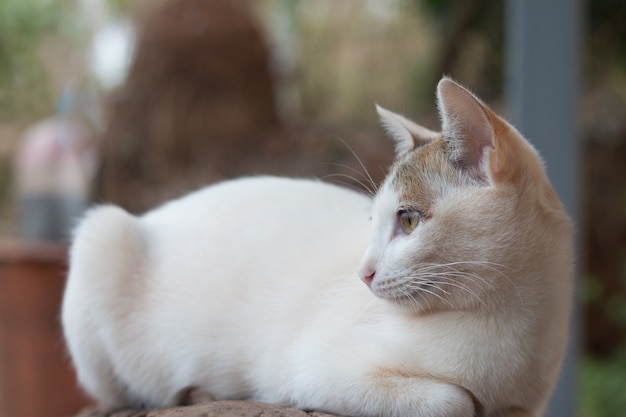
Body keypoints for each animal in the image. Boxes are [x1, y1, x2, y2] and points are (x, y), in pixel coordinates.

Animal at [62, 79, 572, 416]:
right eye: (373, 222)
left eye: (408, 220)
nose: (363, 273)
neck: (511, 320)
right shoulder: (309, 370)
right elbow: (452, 401)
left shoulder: (525, 407)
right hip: (101, 236)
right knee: (115, 398)